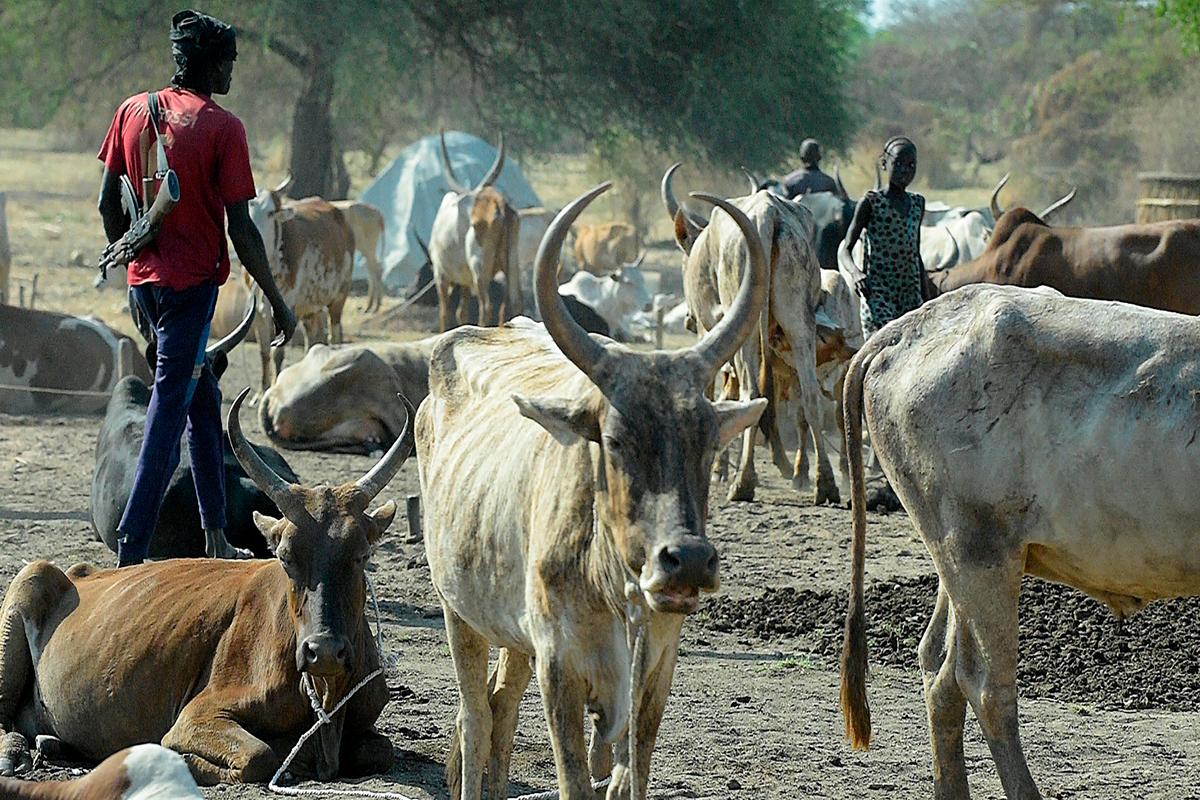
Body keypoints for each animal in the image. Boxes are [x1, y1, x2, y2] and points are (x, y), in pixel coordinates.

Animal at [0, 388, 413, 785]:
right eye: (284, 556)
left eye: (361, 554)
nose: (323, 651)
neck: (325, 695)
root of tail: (78, 571)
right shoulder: (197, 717)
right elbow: (258, 757)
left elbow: (380, 750)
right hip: (29, 579)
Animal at [245, 176, 355, 390]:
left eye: (270, 212)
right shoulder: (259, 313)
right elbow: (264, 353)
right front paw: (262, 390)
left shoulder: (287, 307)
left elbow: (277, 353)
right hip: (310, 307)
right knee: (313, 341)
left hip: (339, 297)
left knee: (334, 335)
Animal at [416, 183, 768, 800]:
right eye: (615, 438)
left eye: (705, 439)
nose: (687, 561)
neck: (610, 583)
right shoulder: (559, 666)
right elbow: (574, 778)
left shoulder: (656, 666)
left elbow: (630, 775)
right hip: (458, 611)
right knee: (475, 717)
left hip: (513, 630)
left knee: (502, 705)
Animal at [430, 131, 522, 332]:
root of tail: (499, 203)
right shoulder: (464, 281)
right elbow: (462, 312)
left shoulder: (441, 275)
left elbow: (444, 313)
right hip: (511, 263)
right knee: (514, 302)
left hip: (479, 267)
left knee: (486, 306)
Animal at [663, 164, 838, 504]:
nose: (687, 319)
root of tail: (768, 215)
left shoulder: (710, 331)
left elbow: (715, 393)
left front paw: (717, 468)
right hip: (799, 322)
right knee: (809, 395)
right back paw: (824, 483)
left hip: (746, 329)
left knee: (752, 393)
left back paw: (743, 482)